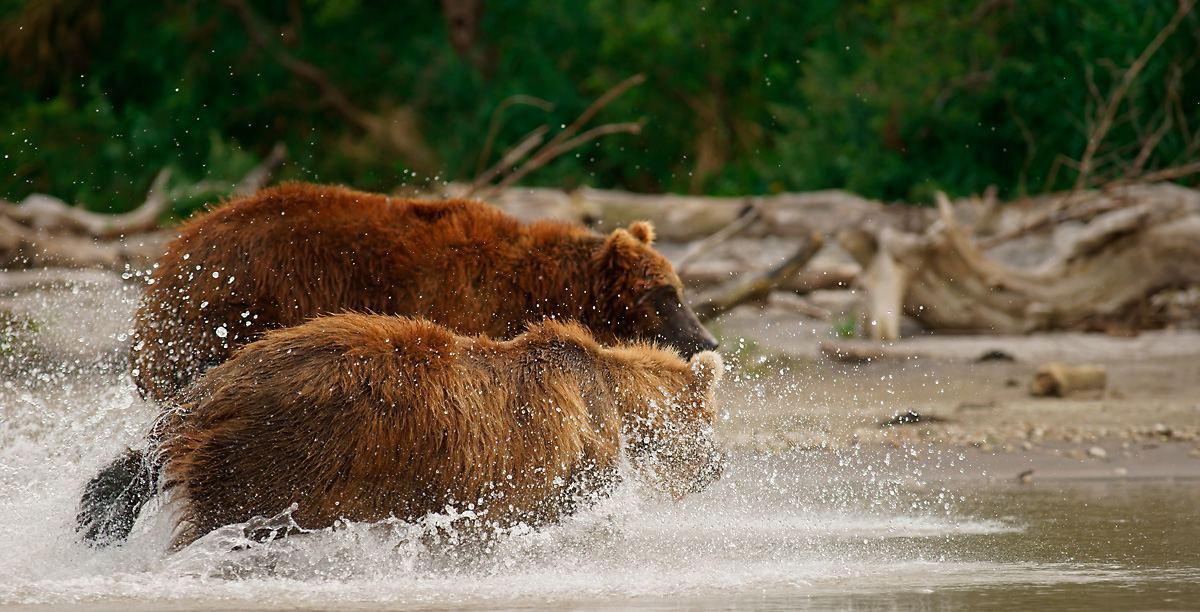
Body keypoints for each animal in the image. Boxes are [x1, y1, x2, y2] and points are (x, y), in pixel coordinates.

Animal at [142, 312, 720, 547]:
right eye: (710, 424)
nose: (716, 470)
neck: (617, 396)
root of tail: (214, 387)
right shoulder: (564, 450)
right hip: (282, 452)